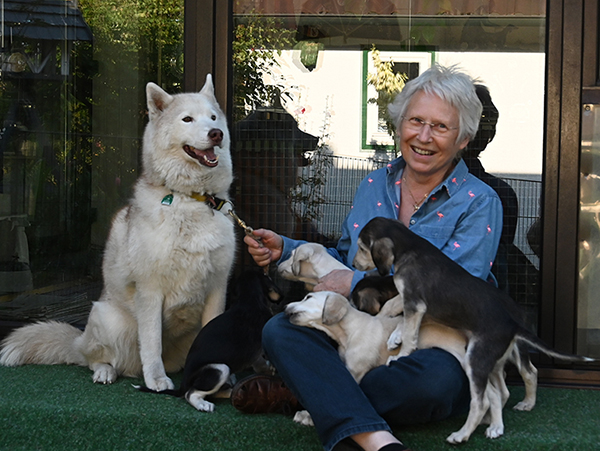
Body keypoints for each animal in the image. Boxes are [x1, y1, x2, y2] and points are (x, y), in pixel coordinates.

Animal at [1, 75, 236, 392]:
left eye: (213, 118)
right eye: (187, 119)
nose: (216, 134)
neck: (192, 199)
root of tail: (78, 340)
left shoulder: (217, 288)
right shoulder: (150, 291)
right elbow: (151, 343)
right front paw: (157, 379)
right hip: (110, 319)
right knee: (95, 359)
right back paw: (105, 371)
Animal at [354, 217, 592, 444]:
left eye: (362, 247)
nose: (354, 263)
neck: (409, 247)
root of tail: (512, 323)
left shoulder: (415, 303)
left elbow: (408, 331)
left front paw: (400, 353)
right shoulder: (421, 307)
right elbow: (401, 318)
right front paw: (395, 336)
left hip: (478, 358)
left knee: (484, 399)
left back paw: (463, 434)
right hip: (496, 359)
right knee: (520, 379)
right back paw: (507, 415)